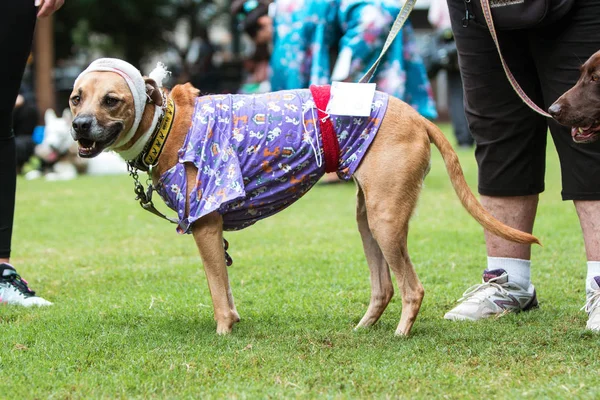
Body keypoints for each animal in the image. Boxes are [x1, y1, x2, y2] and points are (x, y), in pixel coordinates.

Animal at [69, 59, 540, 334]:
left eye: (112, 100)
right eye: (76, 98)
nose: (79, 125)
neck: (166, 126)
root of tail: (418, 116)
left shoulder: (204, 225)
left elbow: (218, 292)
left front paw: (224, 331)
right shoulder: (214, 231)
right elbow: (227, 290)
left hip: (386, 219)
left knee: (412, 288)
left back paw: (400, 333)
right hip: (368, 219)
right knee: (385, 286)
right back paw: (364, 327)